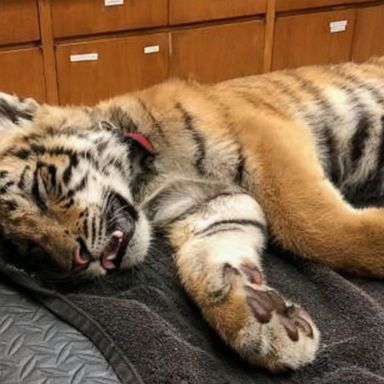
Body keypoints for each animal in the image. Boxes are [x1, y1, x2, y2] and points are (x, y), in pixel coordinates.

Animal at [0, 59, 384, 372]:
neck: (146, 182)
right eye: (30, 250)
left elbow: (312, 225)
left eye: (39, 190)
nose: (75, 260)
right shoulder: (211, 204)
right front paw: (261, 316)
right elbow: (204, 259)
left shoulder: (269, 139)